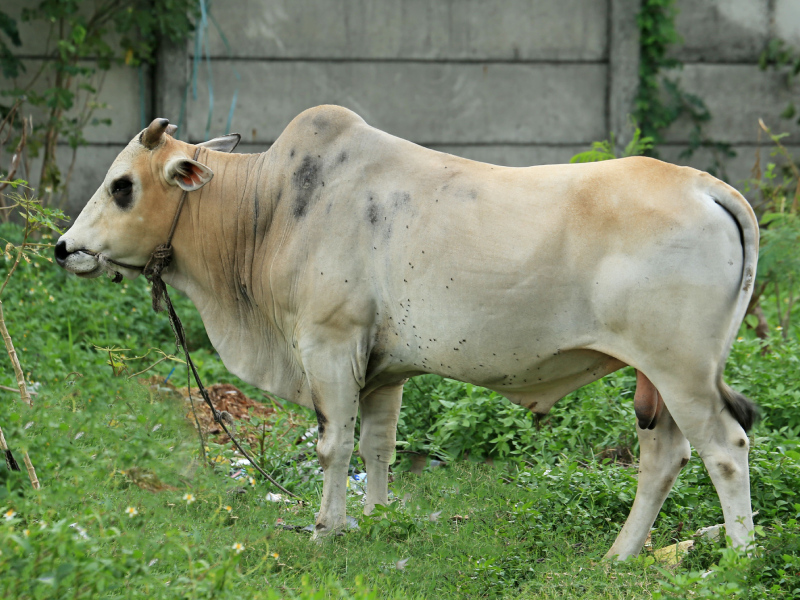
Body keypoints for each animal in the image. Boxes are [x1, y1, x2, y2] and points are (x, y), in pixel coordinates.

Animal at [55, 106, 759, 559]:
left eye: (121, 186)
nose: (64, 248)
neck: (270, 208)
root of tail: (711, 188)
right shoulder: (381, 369)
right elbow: (377, 448)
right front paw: (371, 522)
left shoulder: (329, 344)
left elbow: (333, 447)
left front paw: (326, 529)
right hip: (655, 380)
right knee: (664, 456)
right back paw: (620, 556)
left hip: (682, 372)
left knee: (725, 448)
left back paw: (738, 559)